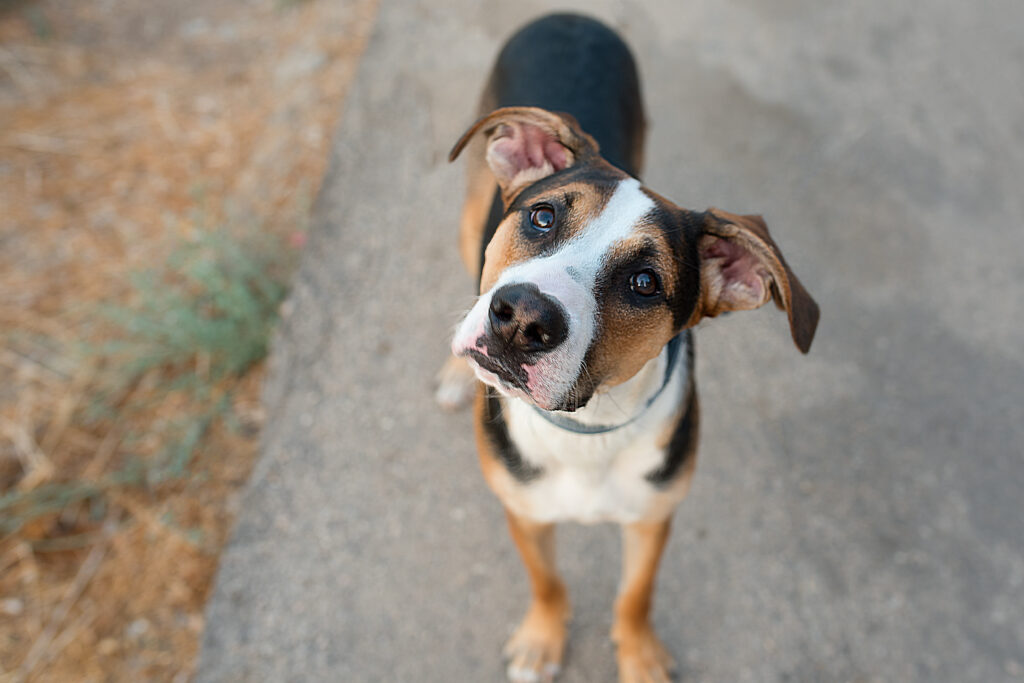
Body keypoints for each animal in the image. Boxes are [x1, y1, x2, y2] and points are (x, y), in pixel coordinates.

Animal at [436, 12, 819, 683]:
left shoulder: (654, 515)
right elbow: (548, 581)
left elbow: (636, 595)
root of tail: (571, 15)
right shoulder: (524, 510)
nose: (521, 320)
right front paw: (541, 641)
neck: (589, 428)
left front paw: (640, 657)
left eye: (645, 283)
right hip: (469, 215)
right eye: (541, 216)